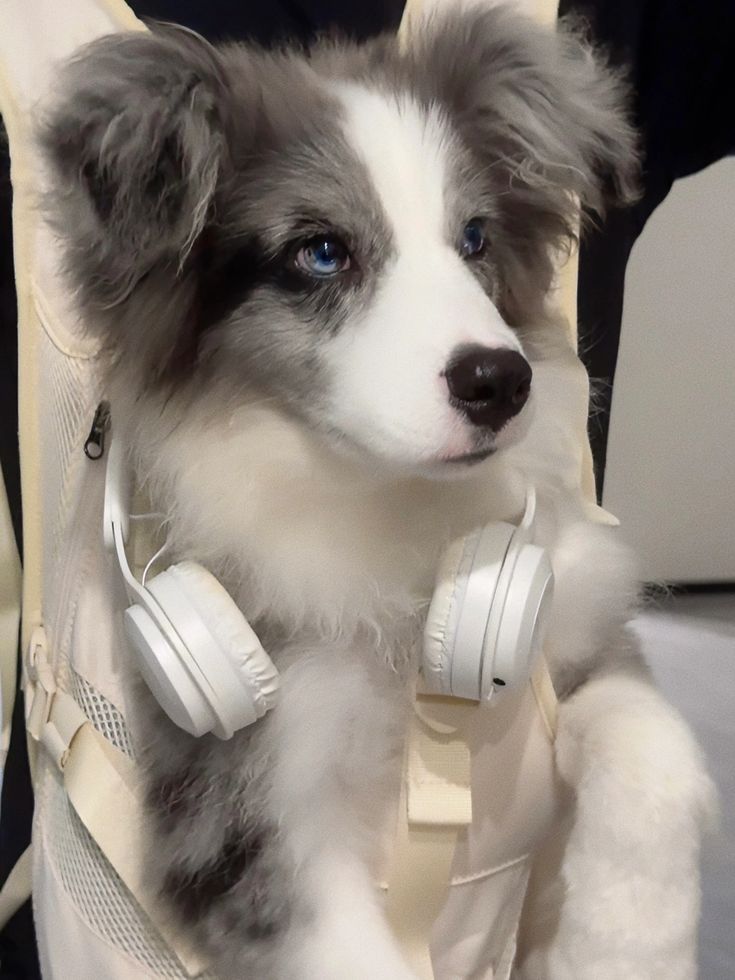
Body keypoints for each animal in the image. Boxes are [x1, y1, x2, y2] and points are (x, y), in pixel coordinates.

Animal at [43, 7, 716, 980]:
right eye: (321, 251)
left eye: (474, 238)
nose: (499, 382)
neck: (383, 504)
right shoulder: (243, 819)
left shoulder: (575, 638)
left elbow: (653, 754)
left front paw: (622, 950)